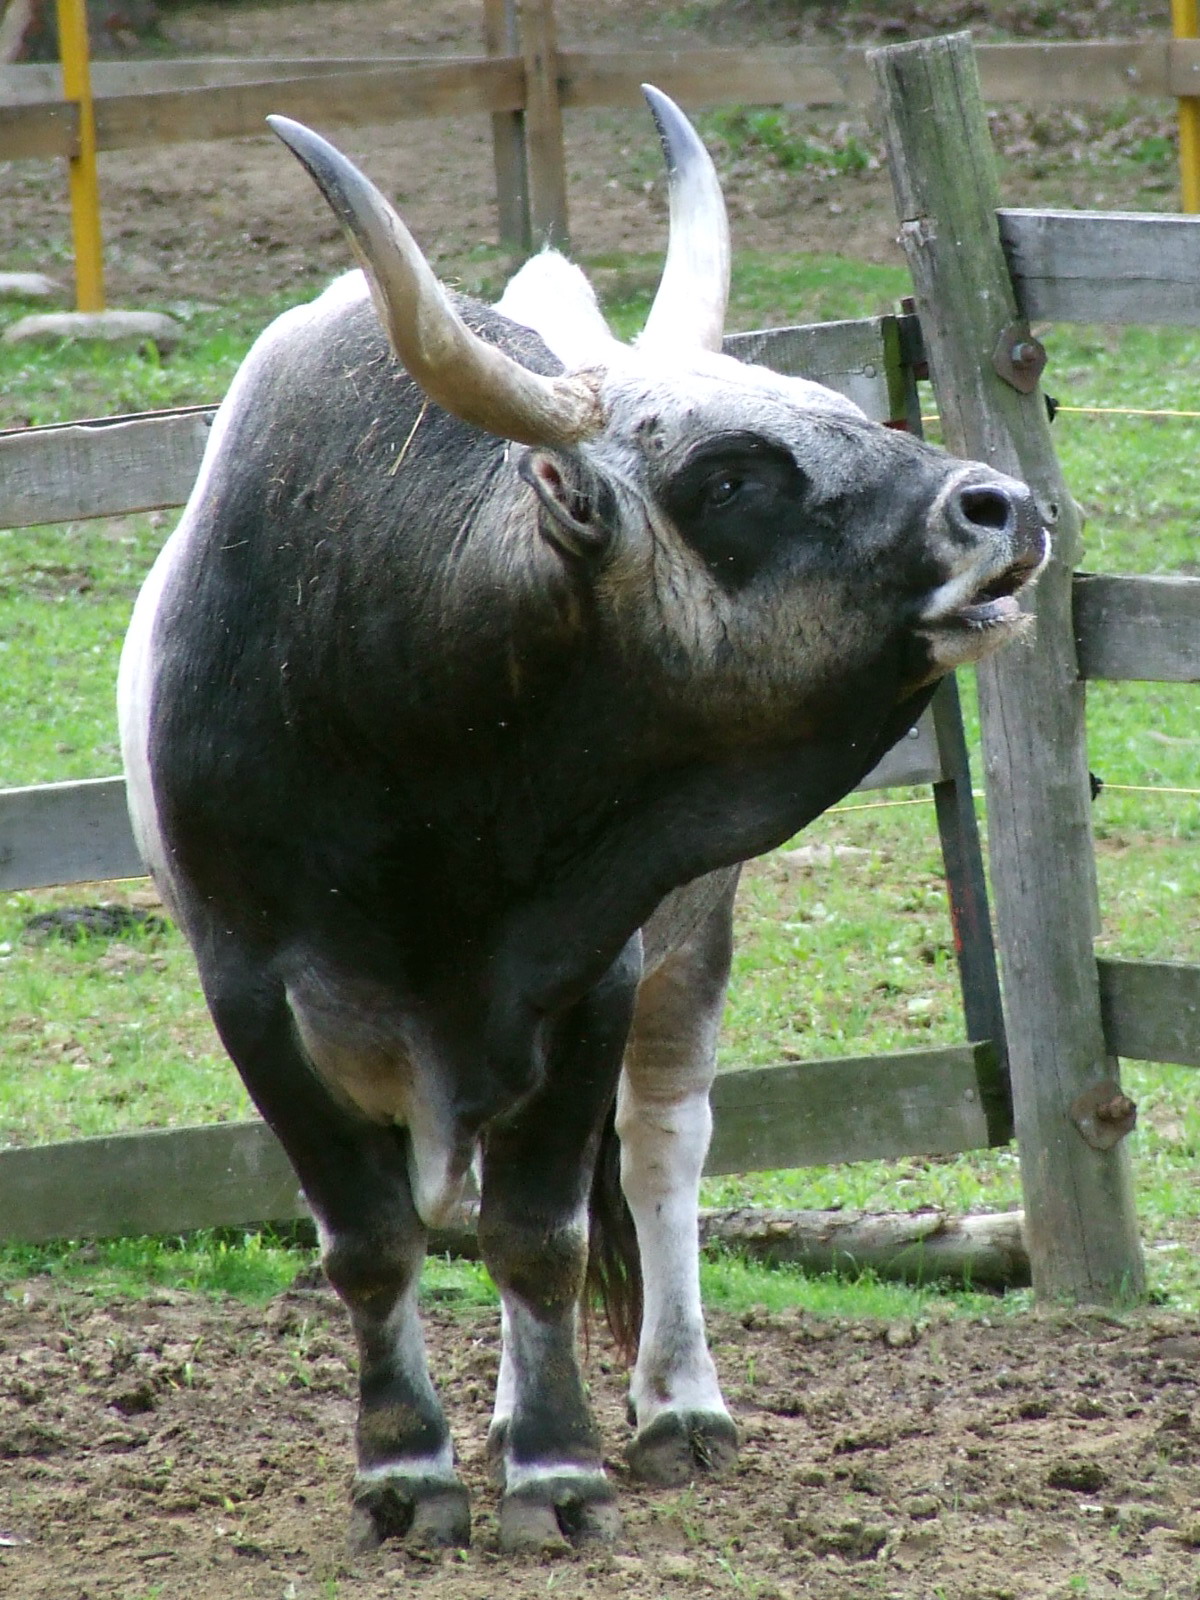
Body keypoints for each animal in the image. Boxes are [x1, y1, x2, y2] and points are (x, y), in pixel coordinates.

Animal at [117, 87, 1046, 1555]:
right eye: (730, 476)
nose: (1001, 506)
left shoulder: (592, 966)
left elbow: (540, 1232)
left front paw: (556, 1466)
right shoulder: (250, 996)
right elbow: (370, 1240)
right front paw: (408, 1467)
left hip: (690, 952)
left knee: (664, 1150)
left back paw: (673, 1404)